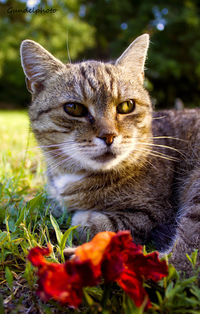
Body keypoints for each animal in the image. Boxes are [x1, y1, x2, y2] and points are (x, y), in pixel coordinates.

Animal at [19, 33, 200, 274]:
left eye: (126, 106)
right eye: (74, 108)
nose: (109, 136)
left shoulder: (154, 213)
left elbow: (93, 222)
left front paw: (79, 219)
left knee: (179, 266)